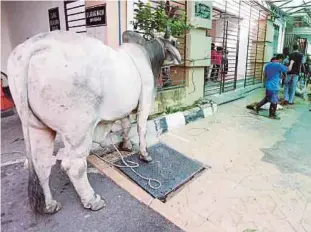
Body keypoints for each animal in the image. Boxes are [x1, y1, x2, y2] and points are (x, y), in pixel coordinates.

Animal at [7, 30, 182, 214]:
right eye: (174, 42)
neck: (149, 55)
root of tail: (33, 45)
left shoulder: (125, 108)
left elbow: (126, 125)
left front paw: (126, 145)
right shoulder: (145, 102)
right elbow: (141, 128)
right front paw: (144, 154)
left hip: (36, 127)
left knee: (41, 164)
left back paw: (49, 205)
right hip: (79, 129)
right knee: (74, 165)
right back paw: (92, 200)